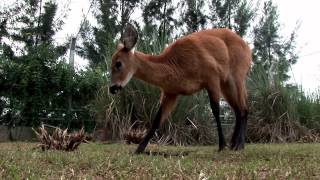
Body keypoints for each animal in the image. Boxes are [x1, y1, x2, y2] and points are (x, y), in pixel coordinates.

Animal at [110, 23, 252, 153]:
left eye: (118, 63)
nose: (112, 88)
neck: (175, 66)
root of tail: (246, 46)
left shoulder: (212, 78)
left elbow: (216, 110)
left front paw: (222, 145)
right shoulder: (170, 93)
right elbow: (157, 120)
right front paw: (139, 149)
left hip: (236, 77)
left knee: (244, 109)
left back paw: (239, 145)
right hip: (226, 85)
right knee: (238, 110)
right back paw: (234, 144)